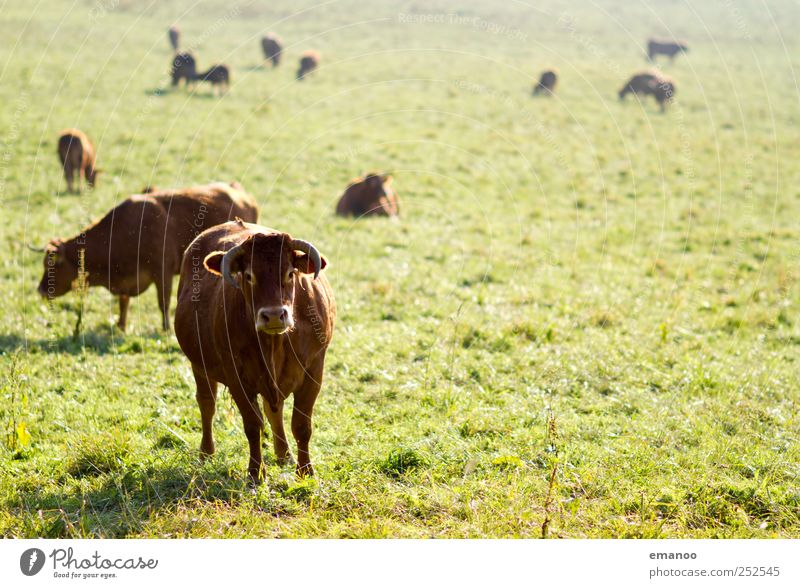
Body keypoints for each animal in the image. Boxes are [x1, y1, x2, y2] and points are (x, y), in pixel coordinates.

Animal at [36, 181, 258, 330]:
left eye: (54, 265)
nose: (41, 290)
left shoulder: (163, 272)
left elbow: (163, 303)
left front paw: (166, 328)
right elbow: (123, 302)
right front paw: (121, 326)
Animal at [173, 220, 336, 482]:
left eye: (290, 273)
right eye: (249, 276)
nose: (274, 315)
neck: (274, 343)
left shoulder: (314, 370)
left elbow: (301, 425)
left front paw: (305, 471)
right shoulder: (236, 379)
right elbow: (252, 426)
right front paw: (255, 472)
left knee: (274, 411)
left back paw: (284, 455)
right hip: (199, 366)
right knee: (207, 404)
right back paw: (206, 453)